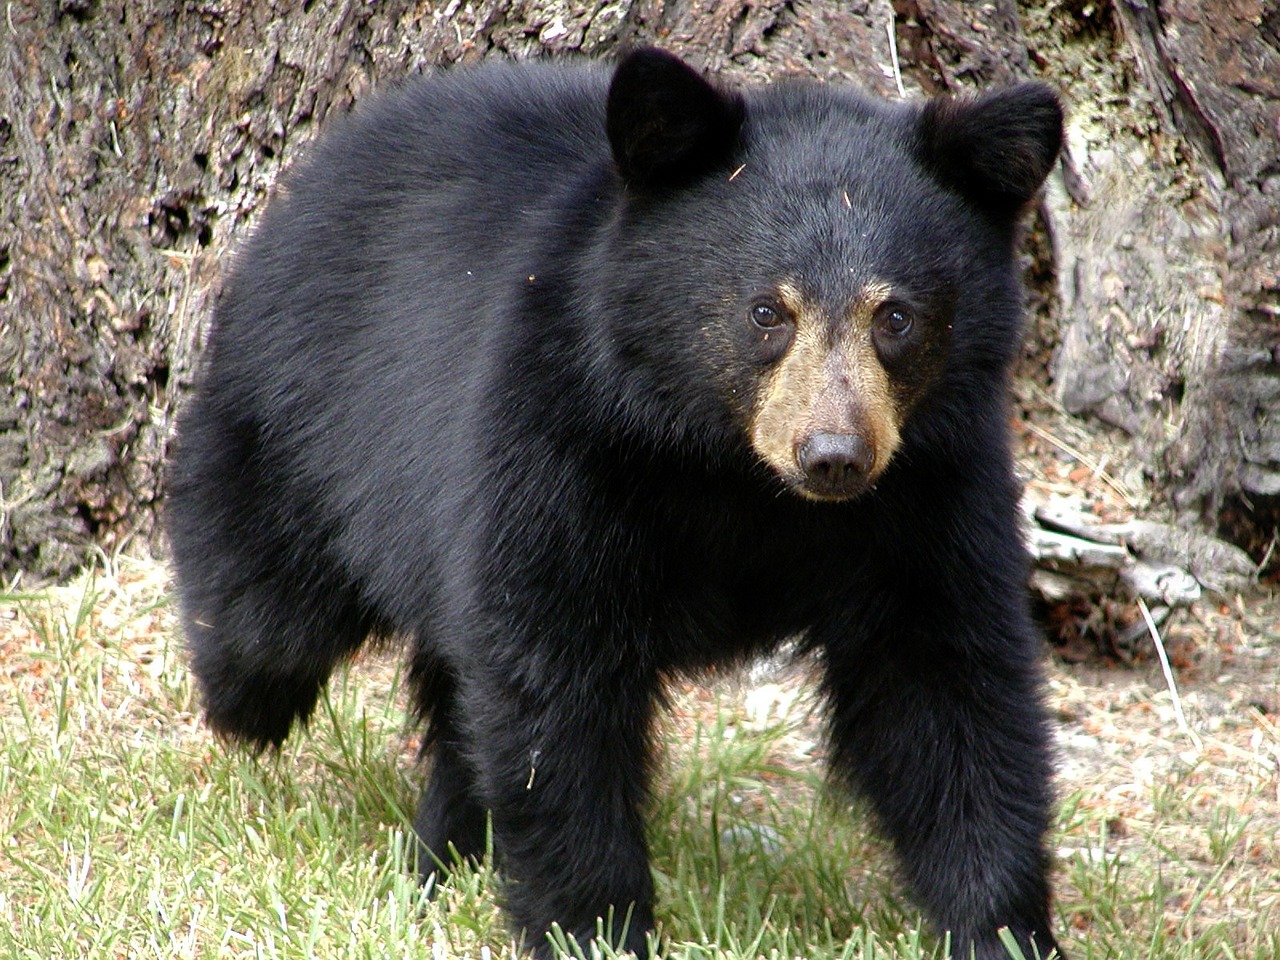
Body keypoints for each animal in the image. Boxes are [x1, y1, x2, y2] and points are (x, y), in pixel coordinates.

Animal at [170, 48, 1070, 960]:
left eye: (897, 317)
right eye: (765, 311)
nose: (834, 456)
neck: (736, 472)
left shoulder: (929, 489)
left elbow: (946, 686)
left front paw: (1002, 926)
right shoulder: (562, 439)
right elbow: (555, 680)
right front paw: (594, 924)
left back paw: (442, 857)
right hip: (306, 414)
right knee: (268, 607)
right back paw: (246, 711)